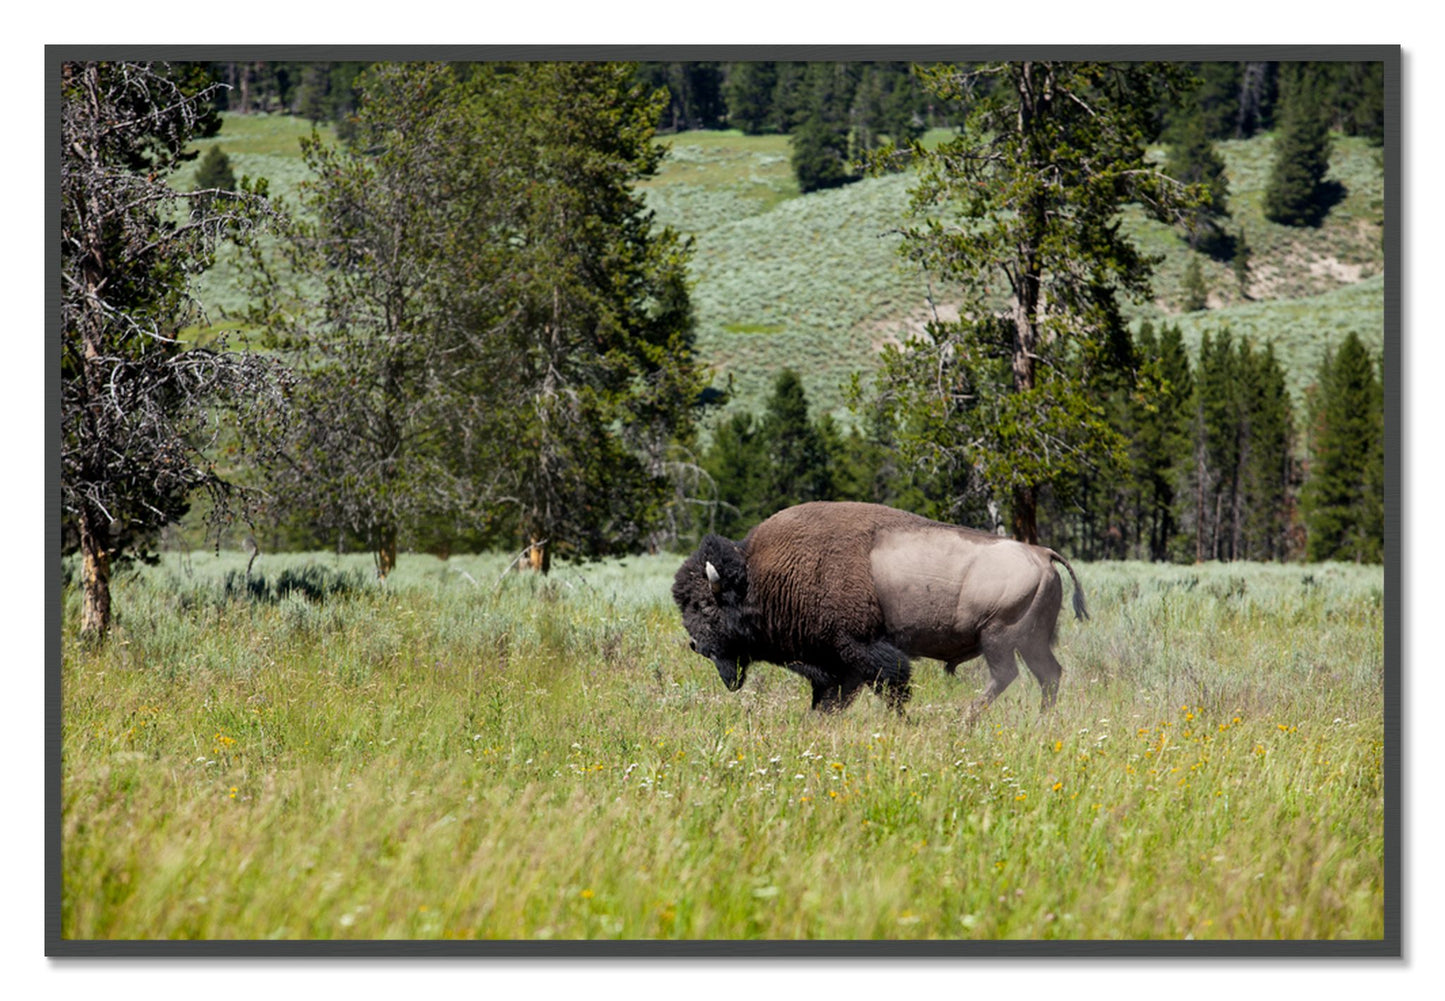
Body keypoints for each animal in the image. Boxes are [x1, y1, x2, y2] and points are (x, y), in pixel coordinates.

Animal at [672, 501, 1088, 722]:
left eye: (705, 606)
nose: (696, 645)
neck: (760, 576)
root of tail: (1042, 553)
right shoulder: (836, 663)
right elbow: (832, 697)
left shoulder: (861, 649)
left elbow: (891, 685)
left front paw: (902, 721)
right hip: (1031, 641)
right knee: (1048, 675)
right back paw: (1041, 720)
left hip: (998, 637)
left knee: (1006, 675)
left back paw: (965, 718)